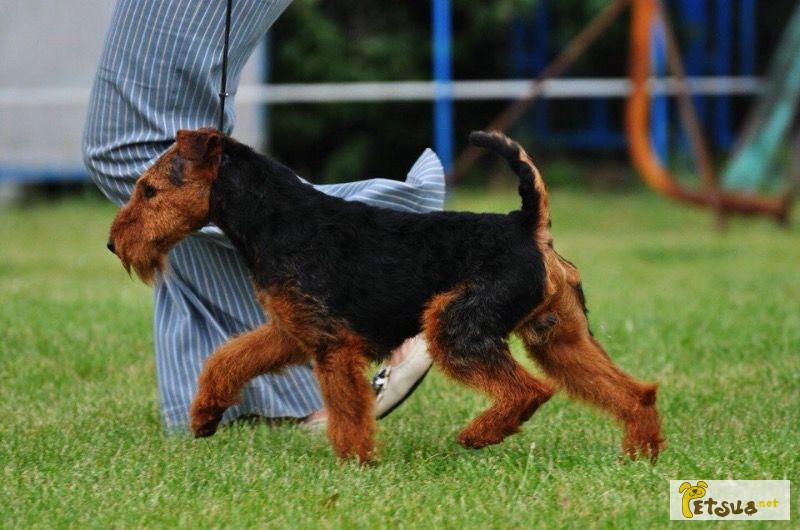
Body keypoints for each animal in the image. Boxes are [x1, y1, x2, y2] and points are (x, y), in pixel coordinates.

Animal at [109, 129, 664, 462]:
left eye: (150, 190)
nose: (115, 244)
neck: (277, 219)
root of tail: (527, 225)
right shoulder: (293, 330)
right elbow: (227, 358)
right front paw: (203, 415)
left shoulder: (332, 345)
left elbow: (348, 410)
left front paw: (356, 462)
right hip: (559, 337)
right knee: (632, 391)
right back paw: (642, 451)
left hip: (456, 328)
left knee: (530, 390)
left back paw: (478, 434)